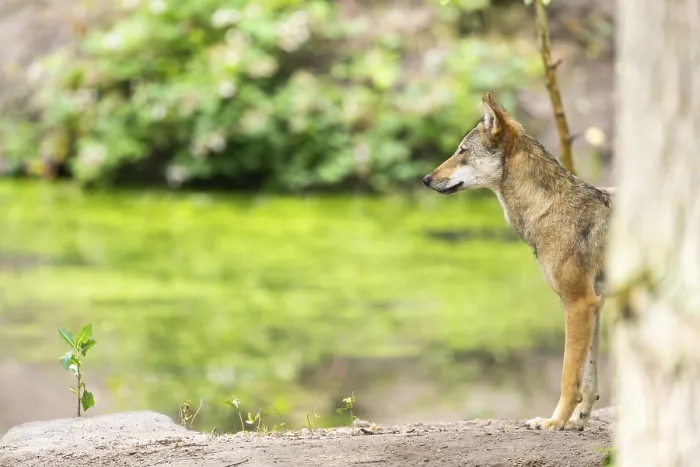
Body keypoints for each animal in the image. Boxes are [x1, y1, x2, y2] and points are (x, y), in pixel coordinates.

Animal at [422, 92, 614, 431]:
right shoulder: (595, 303)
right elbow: (588, 379)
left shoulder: (579, 303)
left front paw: (554, 421)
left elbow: (568, 375)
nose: (425, 179)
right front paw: (577, 420)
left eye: (462, 152)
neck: (548, 206)